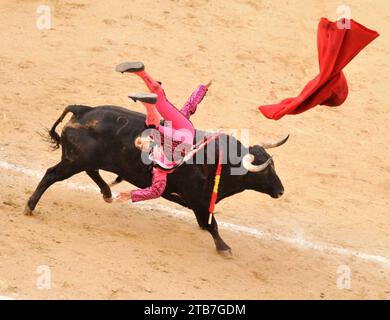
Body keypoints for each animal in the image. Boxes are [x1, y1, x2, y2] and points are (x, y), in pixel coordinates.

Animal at [25, 105, 286, 255]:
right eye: (264, 171)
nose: (281, 191)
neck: (220, 160)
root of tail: (82, 110)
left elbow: (208, 223)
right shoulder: (198, 200)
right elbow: (212, 225)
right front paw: (224, 248)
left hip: (82, 160)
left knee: (92, 172)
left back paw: (107, 194)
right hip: (73, 161)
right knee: (51, 175)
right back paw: (30, 206)